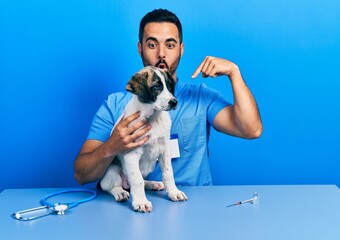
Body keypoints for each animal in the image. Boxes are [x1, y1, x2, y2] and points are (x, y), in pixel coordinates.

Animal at [99, 65, 187, 212]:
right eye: (156, 87)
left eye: (169, 85)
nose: (174, 102)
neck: (153, 117)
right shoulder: (131, 153)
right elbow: (137, 180)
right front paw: (141, 202)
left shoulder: (165, 150)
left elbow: (168, 173)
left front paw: (174, 192)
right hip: (112, 170)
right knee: (112, 186)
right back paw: (121, 193)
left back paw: (152, 184)